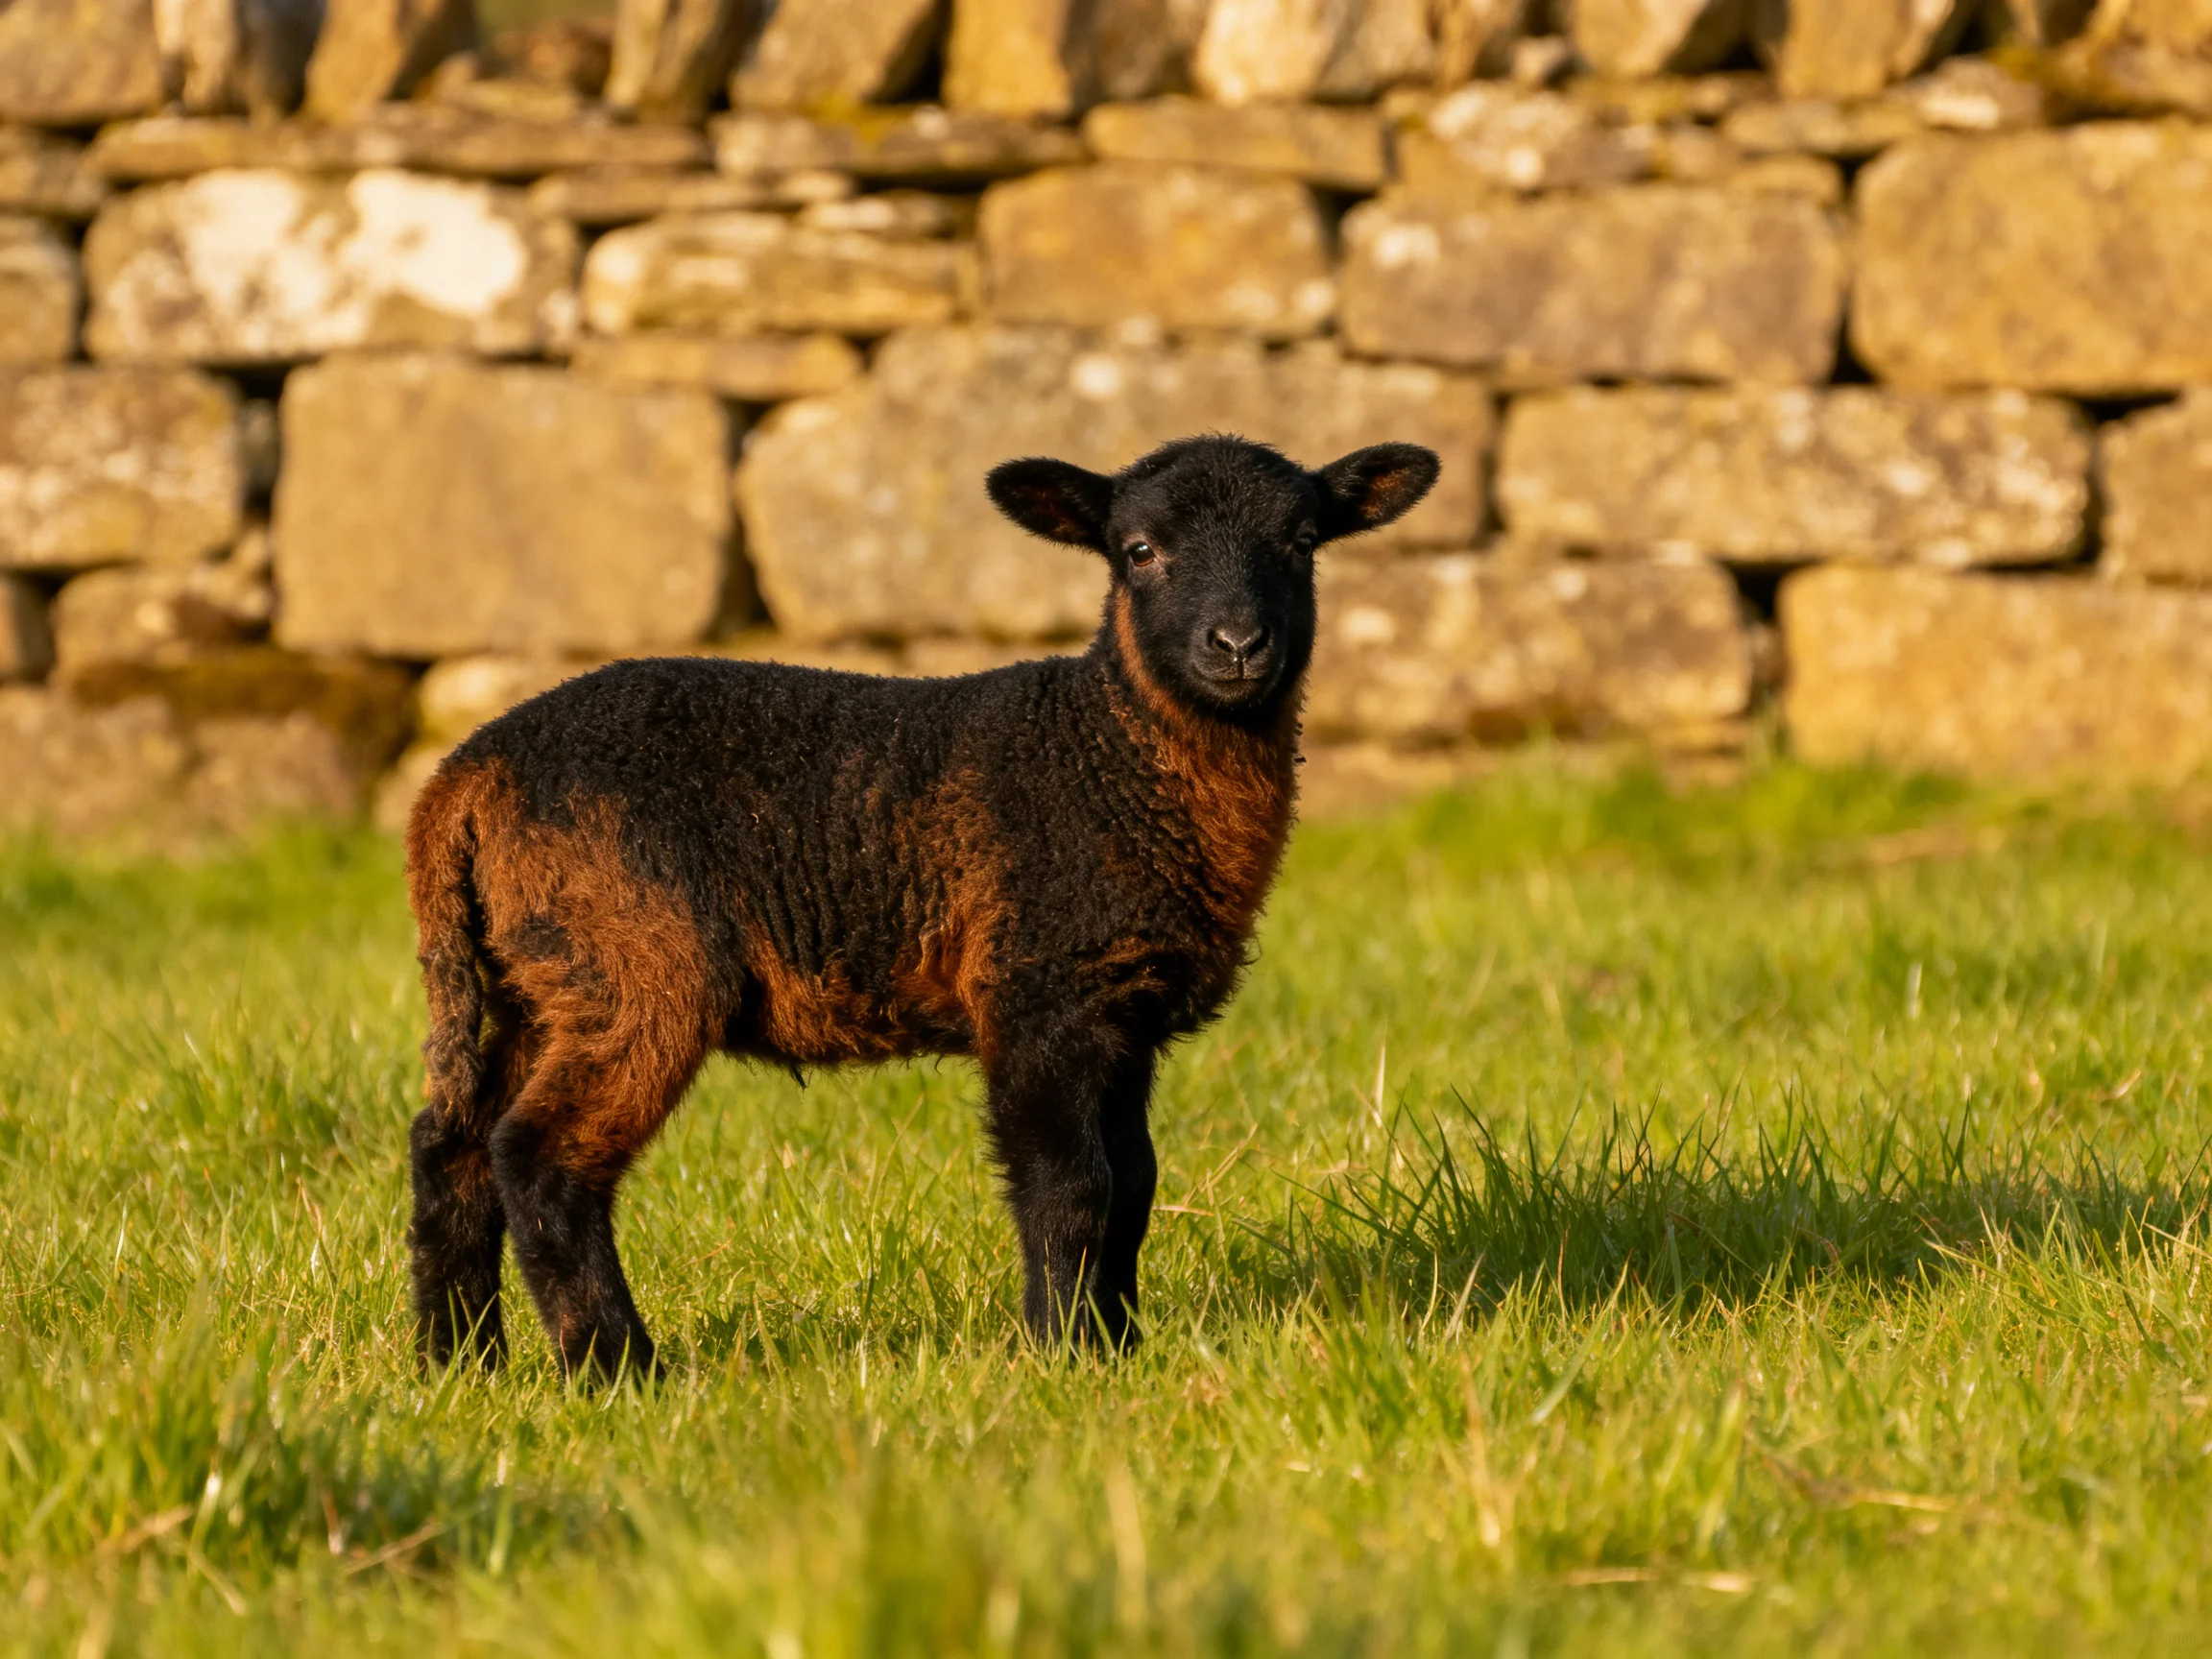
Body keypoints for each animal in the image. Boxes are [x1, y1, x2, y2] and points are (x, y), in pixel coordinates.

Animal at [404, 433, 1441, 1380]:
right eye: (1139, 550)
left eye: (1303, 541)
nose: (1237, 647)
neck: (1107, 751)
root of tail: (466, 775)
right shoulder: (1036, 992)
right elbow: (1072, 1187)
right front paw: (1065, 1355)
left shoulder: (1123, 1011)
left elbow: (1136, 1185)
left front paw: (1122, 1345)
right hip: (635, 962)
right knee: (542, 1157)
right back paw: (620, 1369)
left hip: (538, 972)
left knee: (453, 1145)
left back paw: (459, 1361)